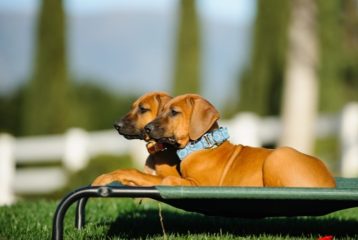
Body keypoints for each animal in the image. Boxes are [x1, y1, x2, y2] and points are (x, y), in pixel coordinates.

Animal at [145, 94, 336, 188]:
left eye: (174, 112)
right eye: (162, 110)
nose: (147, 128)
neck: (202, 144)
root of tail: (330, 182)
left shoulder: (203, 184)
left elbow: (169, 180)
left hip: (279, 156)